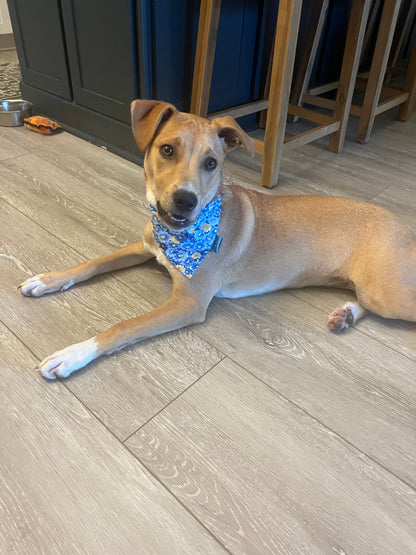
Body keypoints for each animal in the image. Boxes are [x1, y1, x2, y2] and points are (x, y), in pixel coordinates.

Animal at [19, 100, 416, 380]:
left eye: (212, 163)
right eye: (167, 150)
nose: (185, 201)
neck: (180, 236)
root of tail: (405, 226)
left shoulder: (188, 303)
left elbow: (123, 326)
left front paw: (71, 355)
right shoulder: (144, 247)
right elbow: (92, 262)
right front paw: (46, 280)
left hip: (386, 292)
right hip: (365, 287)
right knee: (360, 299)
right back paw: (345, 316)